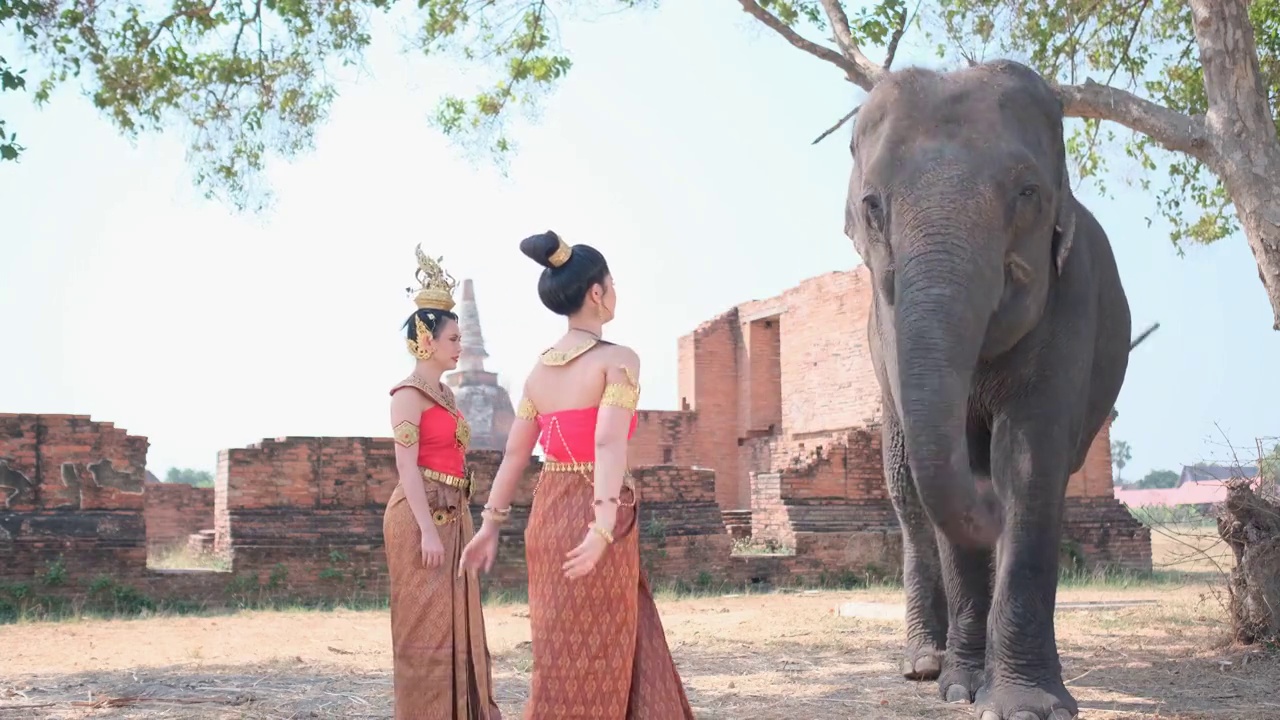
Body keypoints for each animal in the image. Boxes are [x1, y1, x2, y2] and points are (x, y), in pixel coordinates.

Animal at [849, 57, 1131, 717]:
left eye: (1028, 194)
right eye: (872, 205)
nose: (985, 505)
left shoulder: (1071, 298)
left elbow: (1029, 464)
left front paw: (1024, 703)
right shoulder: (890, 324)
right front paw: (960, 687)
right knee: (907, 493)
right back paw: (925, 663)